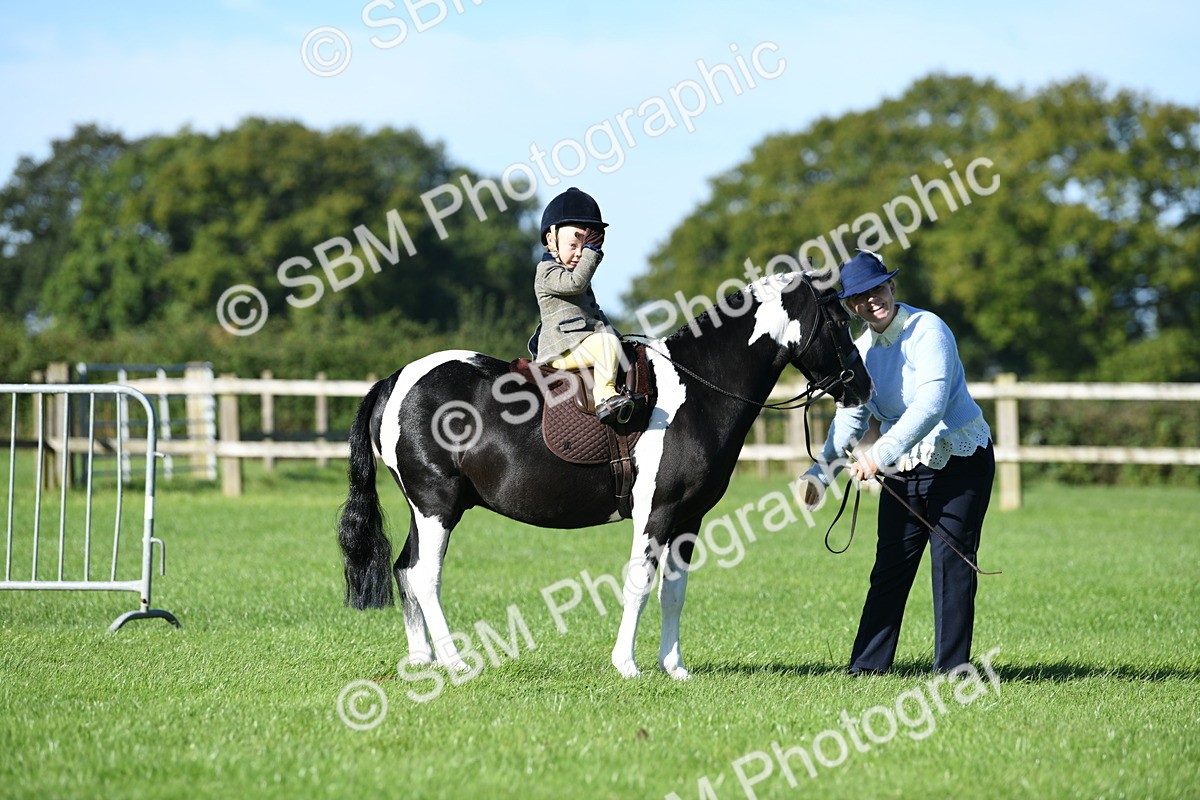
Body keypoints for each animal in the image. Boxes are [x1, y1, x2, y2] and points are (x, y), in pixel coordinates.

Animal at [337, 271, 872, 679]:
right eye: (840, 322)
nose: (863, 387)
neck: (698, 388)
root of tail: (396, 379)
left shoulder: (688, 519)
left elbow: (673, 592)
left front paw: (674, 667)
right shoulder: (655, 514)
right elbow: (639, 583)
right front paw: (627, 665)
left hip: (424, 509)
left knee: (404, 570)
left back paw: (422, 659)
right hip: (437, 506)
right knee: (424, 576)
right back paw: (454, 661)